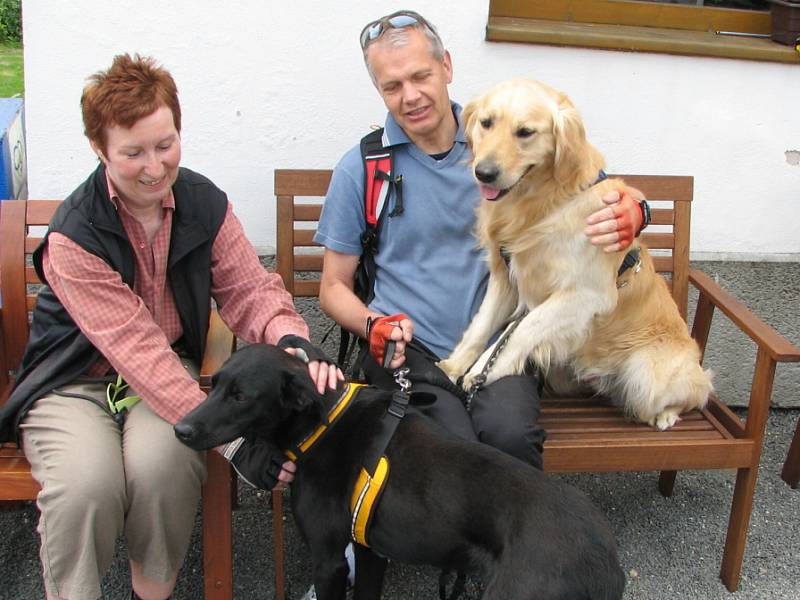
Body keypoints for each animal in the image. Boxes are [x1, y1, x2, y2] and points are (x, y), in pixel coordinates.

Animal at [175, 342, 624, 600]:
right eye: (215, 384)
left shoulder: (330, 561)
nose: (181, 429)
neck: (323, 423)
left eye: (241, 396)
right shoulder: (370, 551)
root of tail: (604, 555)